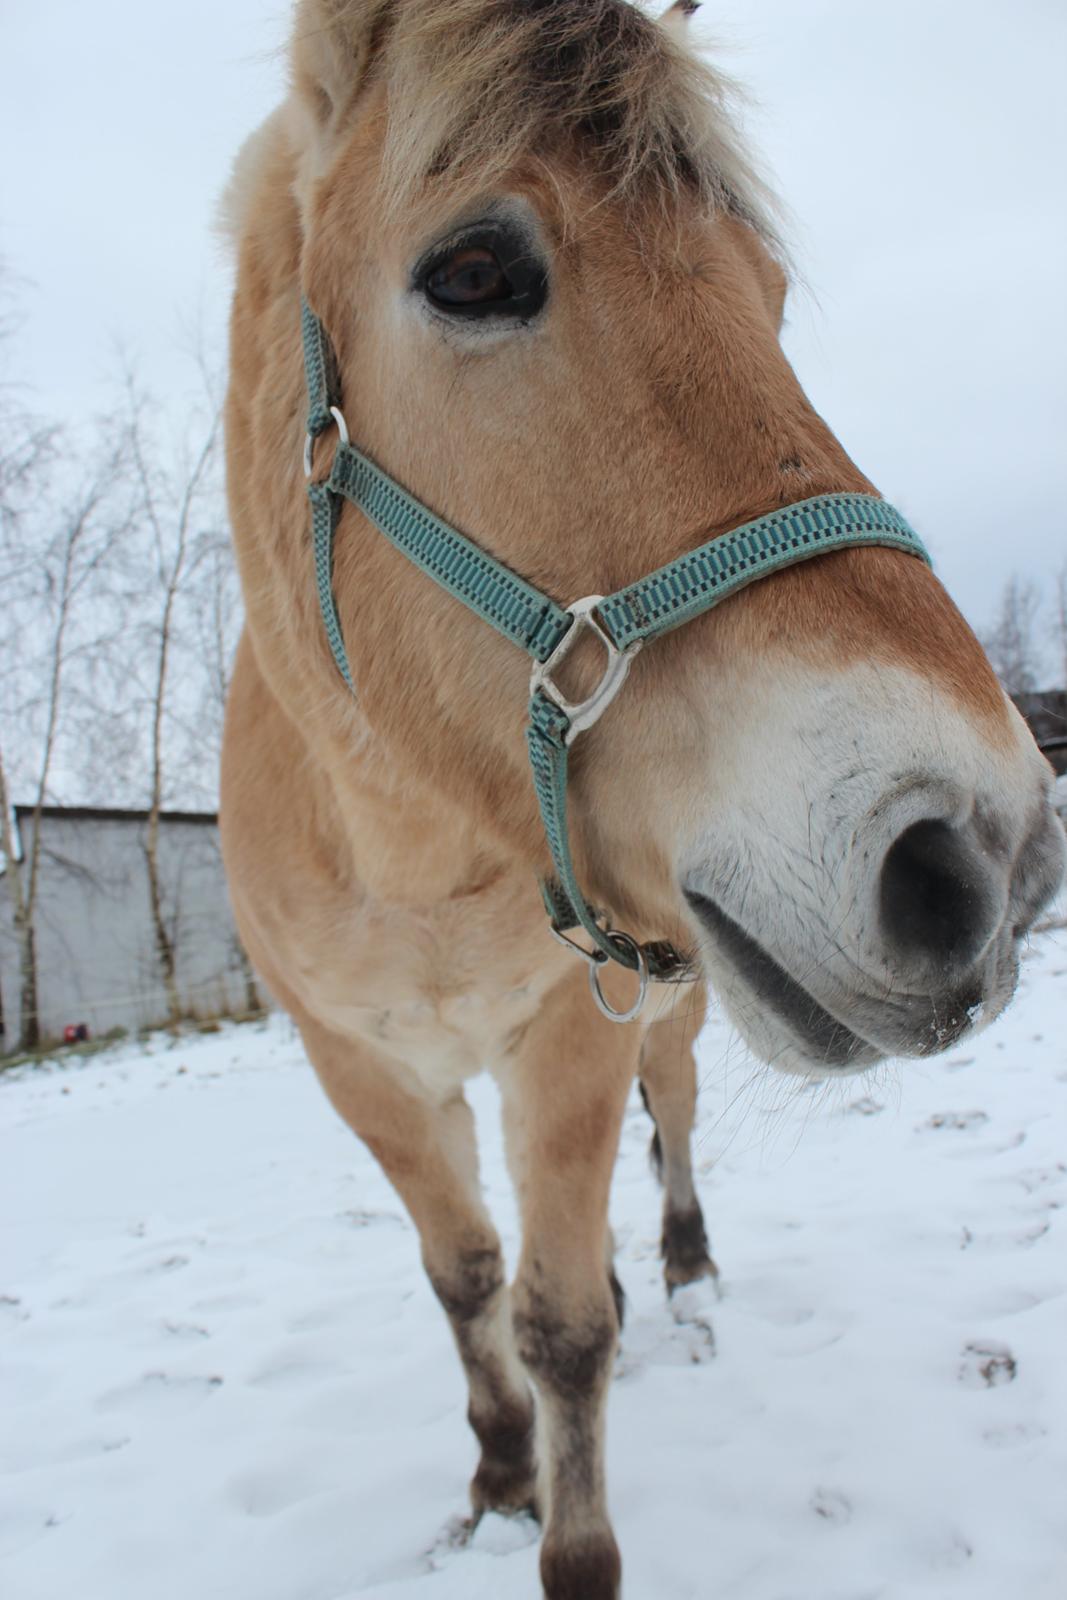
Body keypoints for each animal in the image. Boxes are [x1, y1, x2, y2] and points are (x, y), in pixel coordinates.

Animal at [219, 6, 1067, 1593]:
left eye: (768, 297)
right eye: (472, 272)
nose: (982, 852)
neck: (405, 849)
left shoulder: (570, 1033)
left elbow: (560, 1328)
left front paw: (569, 1528)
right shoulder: (359, 1068)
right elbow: (465, 1280)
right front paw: (498, 1474)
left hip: (662, 1010)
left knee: (667, 1119)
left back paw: (677, 1264)